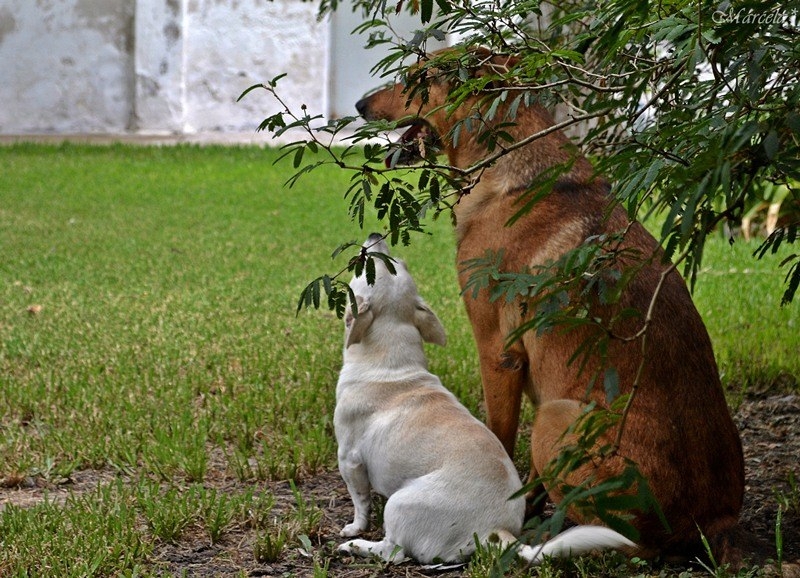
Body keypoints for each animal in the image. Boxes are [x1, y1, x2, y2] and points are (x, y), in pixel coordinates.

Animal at [332, 234, 636, 564]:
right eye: (400, 263)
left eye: (373, 267)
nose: (376, 236)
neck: (391, 363)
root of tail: (497, 531)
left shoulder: (349, 459)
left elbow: (360, 502)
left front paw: (354, 527)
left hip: (399, 504)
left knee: (394, 552)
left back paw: (357, 546)